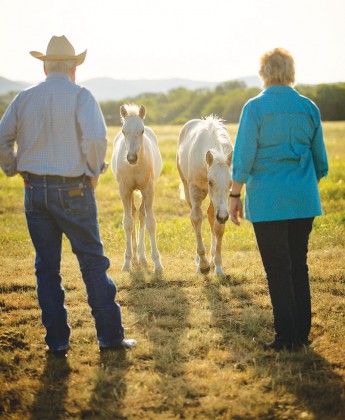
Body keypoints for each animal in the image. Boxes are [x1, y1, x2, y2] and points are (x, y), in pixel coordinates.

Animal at [111, 104, 163, 272]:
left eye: (142, 131)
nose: (131, 158)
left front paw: (157, 264)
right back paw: (134, 257)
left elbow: (150, 223)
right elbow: (127, 223)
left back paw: (142, 257)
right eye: (123, 131)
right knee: (133, 214)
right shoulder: (124, 190)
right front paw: (127, 263)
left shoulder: (148, 189)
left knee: (140, 215)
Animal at [176, 115, 232, 276]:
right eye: (210, 182)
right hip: (187, 190)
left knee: (211, 215)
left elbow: (218, 227)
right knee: (195, 219)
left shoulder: (223, 205)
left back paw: (212, 259)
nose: (224, 216)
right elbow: (196, 219)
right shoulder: (194, 190)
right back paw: (200, 262)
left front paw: (218, 266)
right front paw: (203, 265)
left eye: (230, 183)